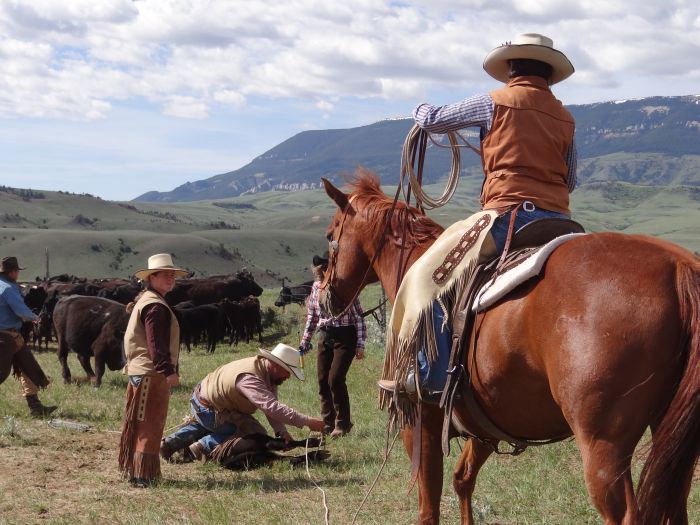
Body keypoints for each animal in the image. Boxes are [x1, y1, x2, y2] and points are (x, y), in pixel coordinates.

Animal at [318, 169, 700, 524]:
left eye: (330, 235)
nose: (325, 299)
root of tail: (678, 266)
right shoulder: (483, 425)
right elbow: (463, 479)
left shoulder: (419, 419)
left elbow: (429, 505)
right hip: (670, 439)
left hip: (604, 446)